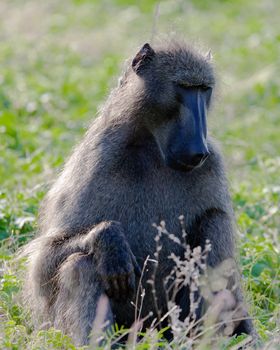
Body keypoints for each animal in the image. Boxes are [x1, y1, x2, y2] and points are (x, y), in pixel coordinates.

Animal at [23, 40, 256, 344]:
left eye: (204, 89)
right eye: (183, 87)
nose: (197, 150)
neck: (151, 146)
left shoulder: (212, 164)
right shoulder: (98, 157)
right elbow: (43, 264)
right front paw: (108, 239)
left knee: (214, 225)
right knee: (81, 265)